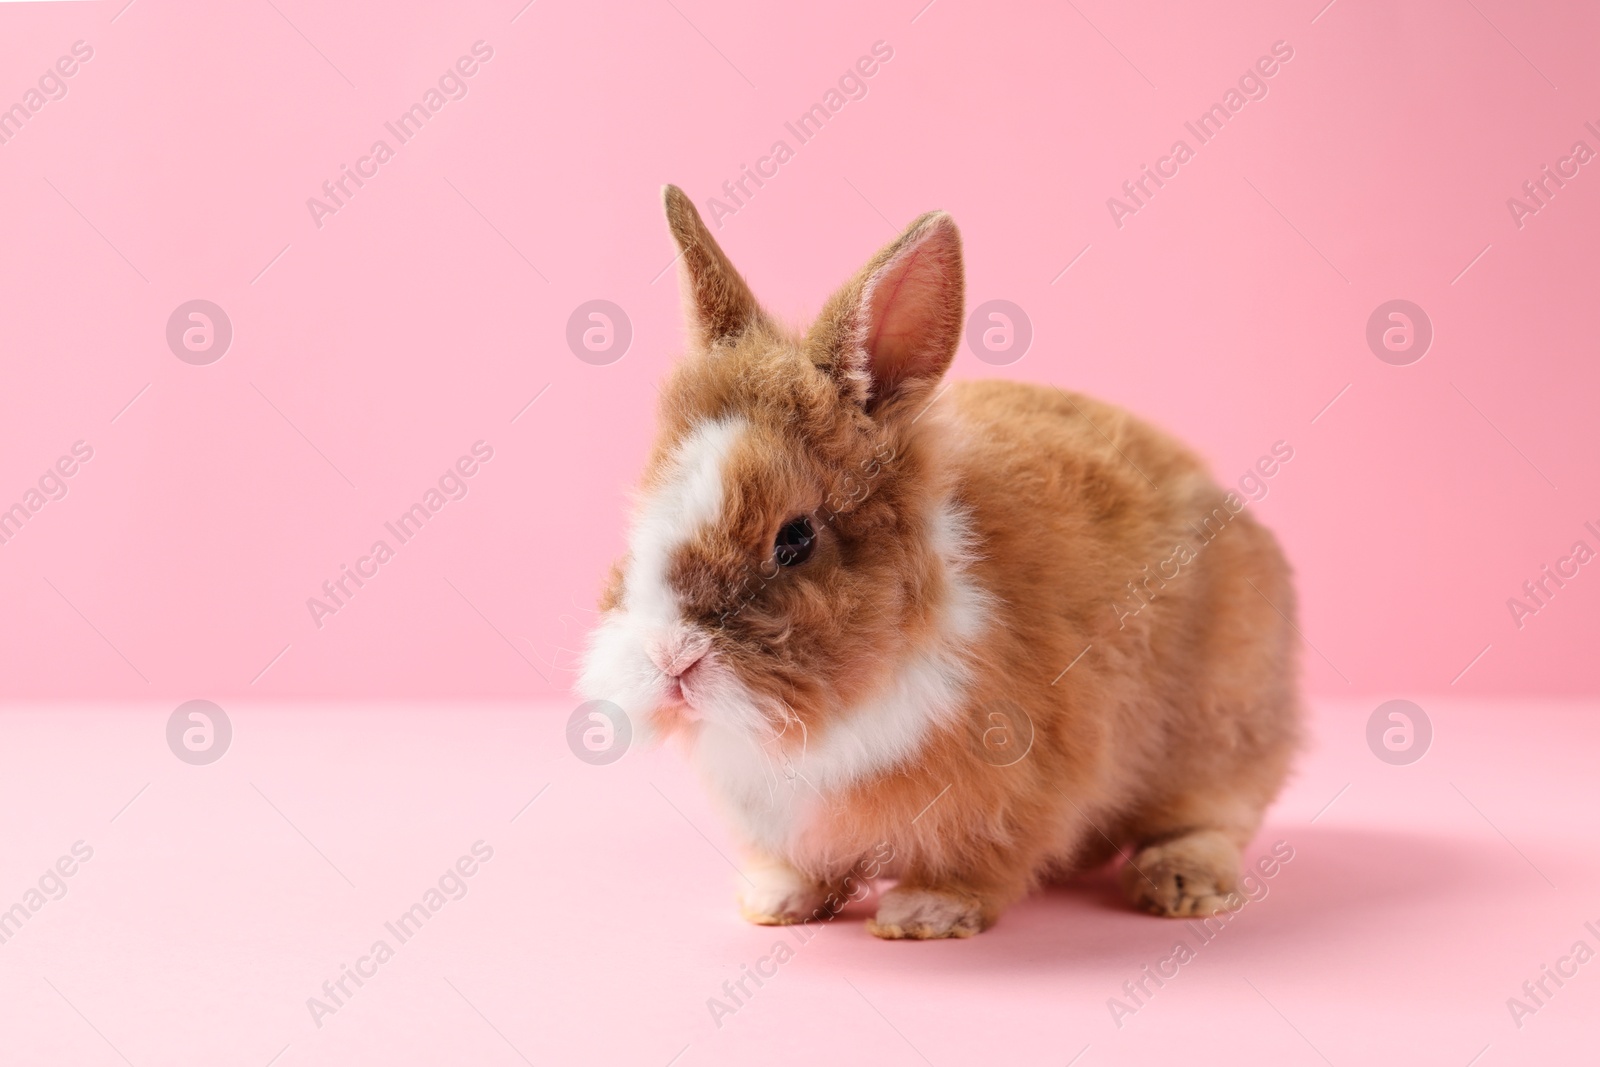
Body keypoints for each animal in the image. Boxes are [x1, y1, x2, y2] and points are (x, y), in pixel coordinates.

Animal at [582, 187, 1305, 940]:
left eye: (795, 540)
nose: (671, 657)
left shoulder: (1017, 788)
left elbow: (978, 865)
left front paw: (924, 911)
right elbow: (801, 866)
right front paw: (776, 901)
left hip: (1220, 733)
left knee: (1213, 817)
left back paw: (1179, 883)